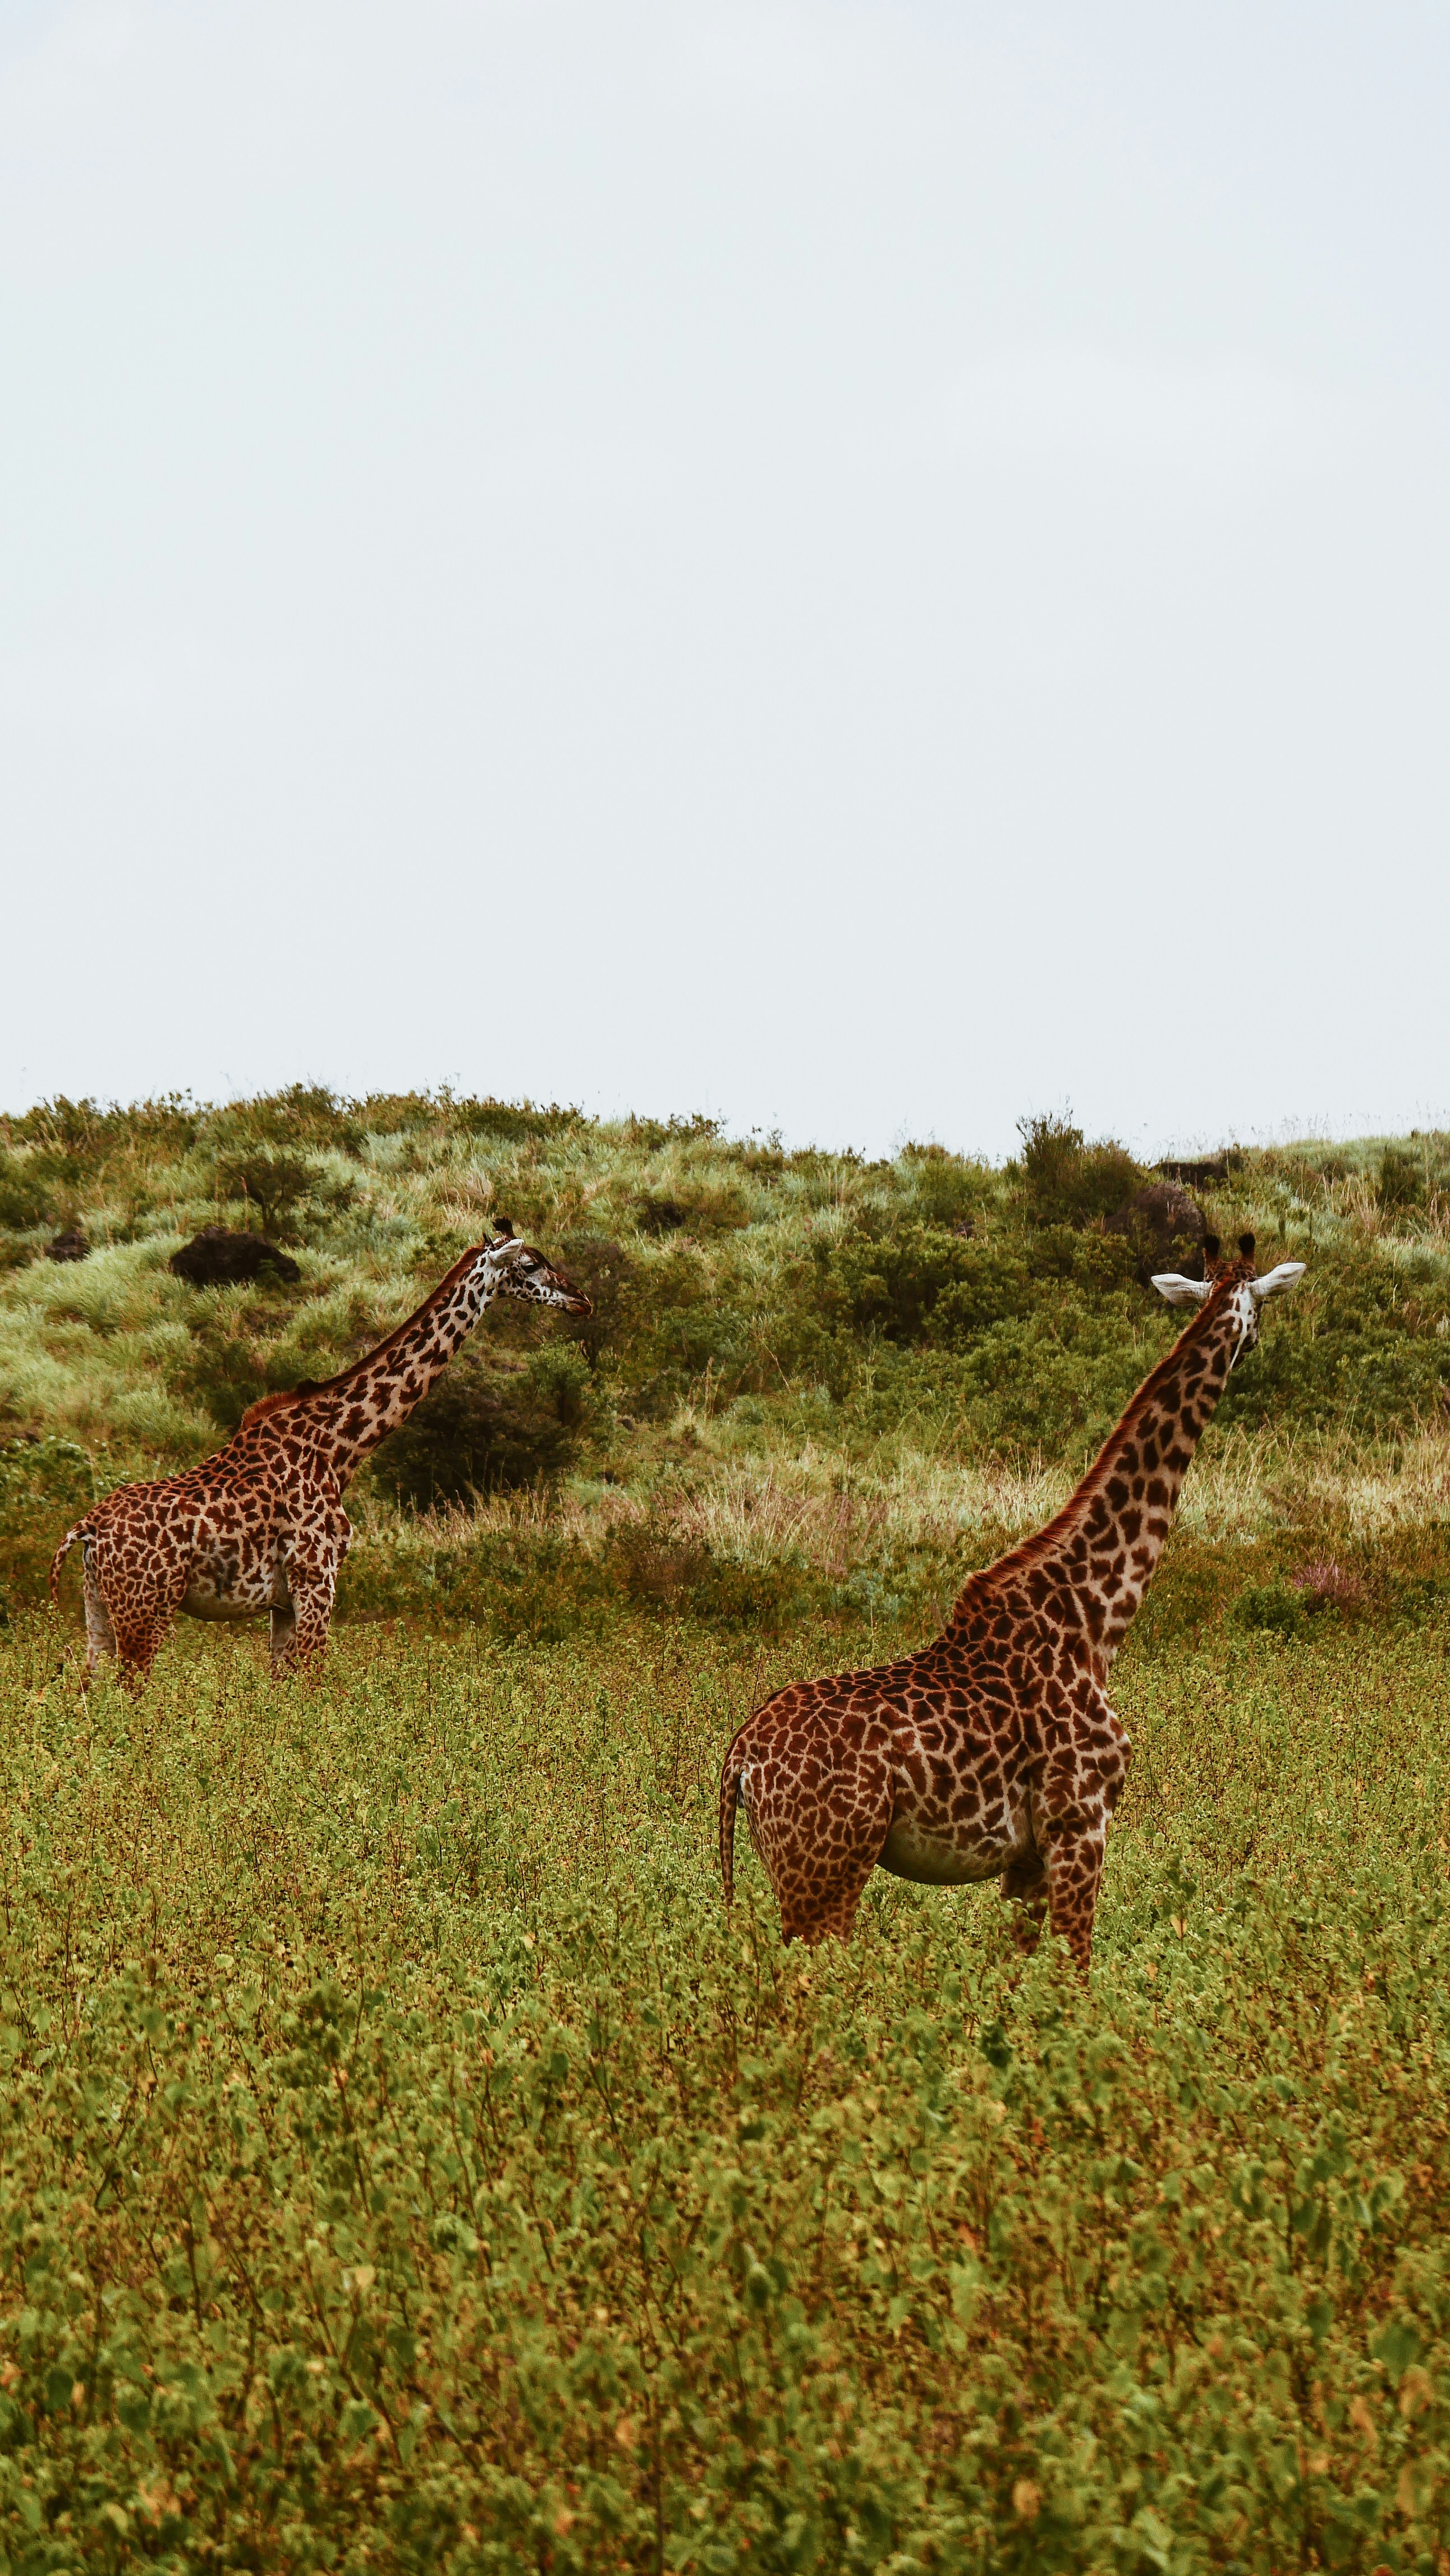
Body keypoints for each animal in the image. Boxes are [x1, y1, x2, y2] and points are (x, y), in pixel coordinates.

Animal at [49, 1222, 591, 1690]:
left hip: (99, 1609)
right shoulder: (316, 1582)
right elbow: (311, 1689)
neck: (337, 1447)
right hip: (146, 1612)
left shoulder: (284, 1602)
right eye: (530, 1265)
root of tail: (87, 1530)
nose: (582, 1300)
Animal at [719, 1233, 1305, 1973]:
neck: (1093, 1616)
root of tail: (740, 1757)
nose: (1255, 1348)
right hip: (826, 1872)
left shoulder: (1025, 1856)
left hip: (798, 1872)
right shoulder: (1080, 1822)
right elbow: (1076, 1967)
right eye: (1260, 1307)